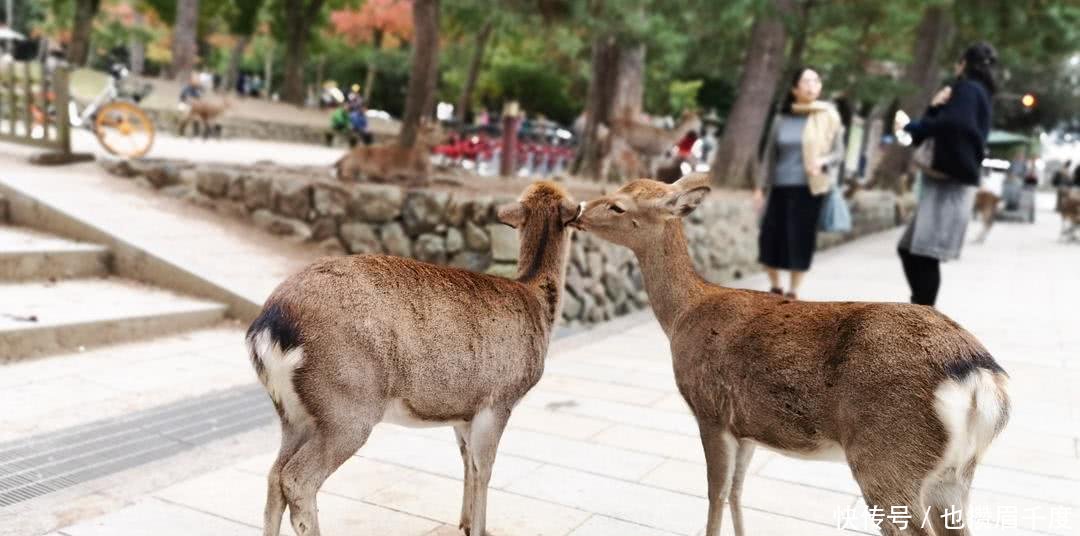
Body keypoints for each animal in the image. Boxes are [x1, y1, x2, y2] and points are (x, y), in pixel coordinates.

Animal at [247, 181, 583, 536]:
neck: (537, 304)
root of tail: (268, 326)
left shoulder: (464, 412)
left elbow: (467, 463)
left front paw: (464, 524)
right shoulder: (498, 401)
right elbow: (485, 468)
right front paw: (480, 530)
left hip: (294, 414)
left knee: (273, 476)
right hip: (348, 407)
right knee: (297, 479)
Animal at [570, 173, 1015, 536]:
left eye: (618, 205)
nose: (575, 210)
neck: (684, 313)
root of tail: (980, 380)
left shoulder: (710, 410)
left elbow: (715, 494)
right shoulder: (746, 424)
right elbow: (737, 491)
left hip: (888, 459)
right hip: (955, 474)